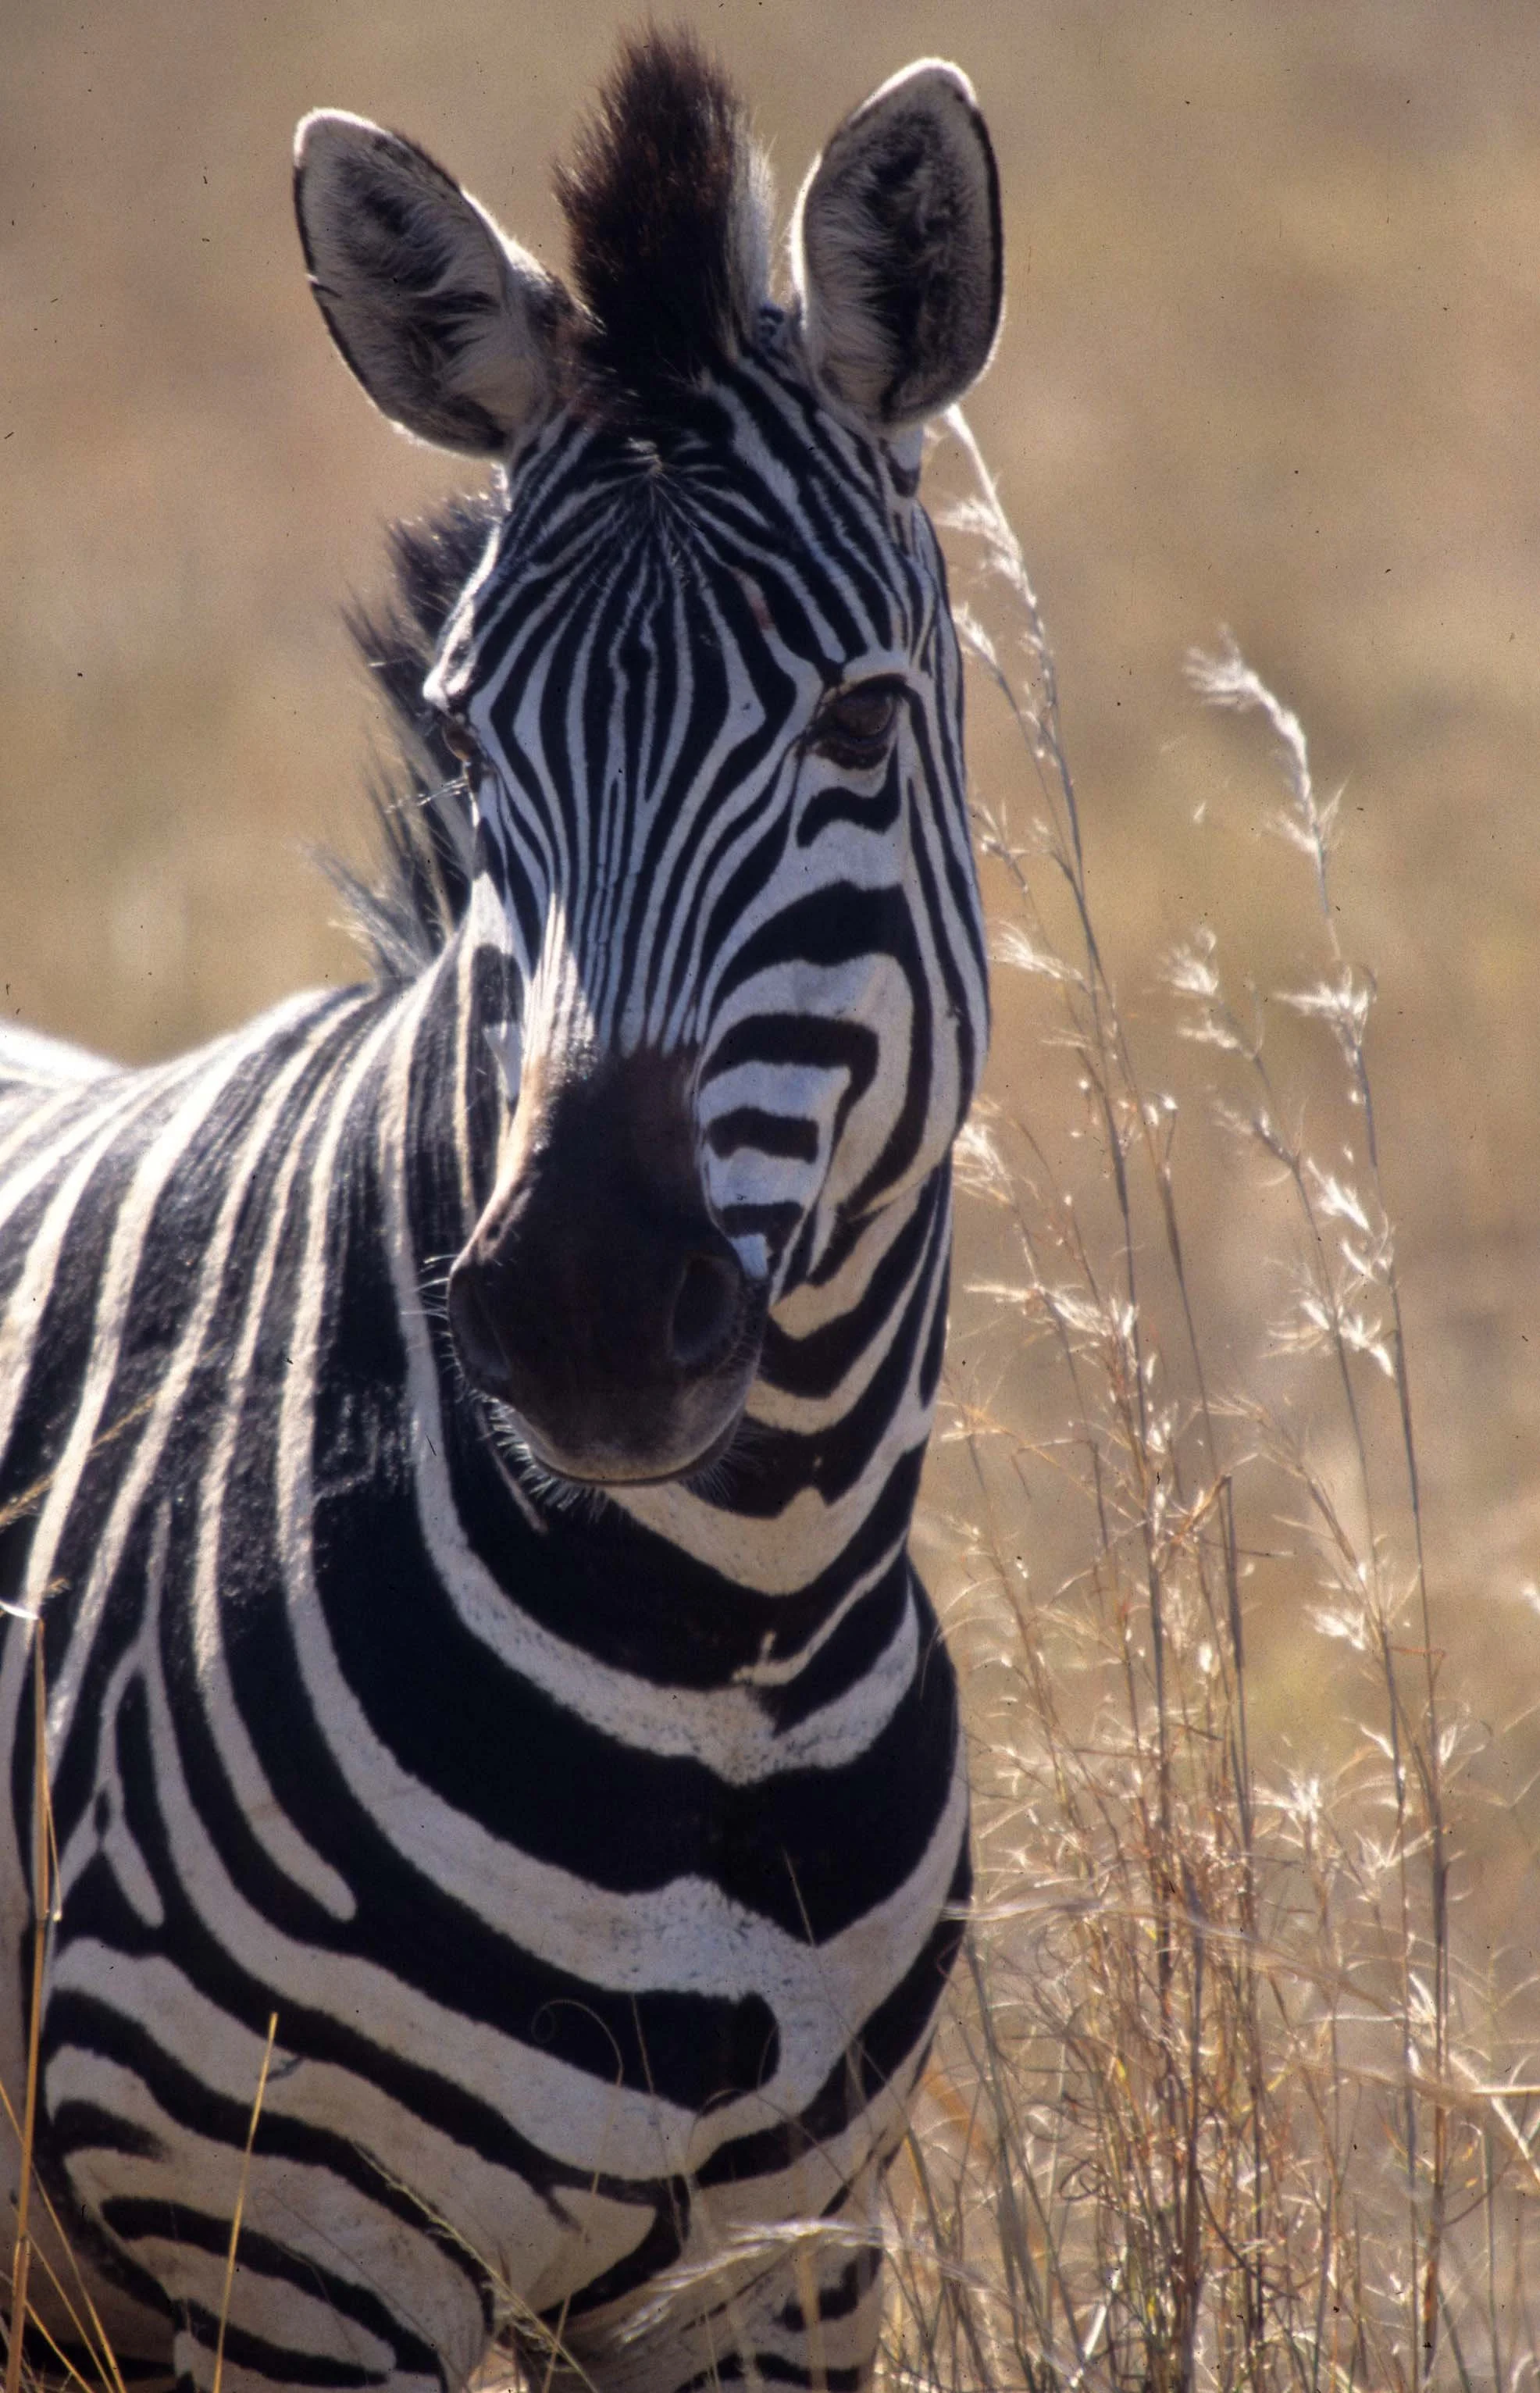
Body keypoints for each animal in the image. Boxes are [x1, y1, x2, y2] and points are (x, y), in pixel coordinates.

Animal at [0, 31, 1000, 2393]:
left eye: (857, 721)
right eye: (466, 742)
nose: (578, 1312)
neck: (735, 1645)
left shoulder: (780, 2273)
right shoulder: (283, 2263)